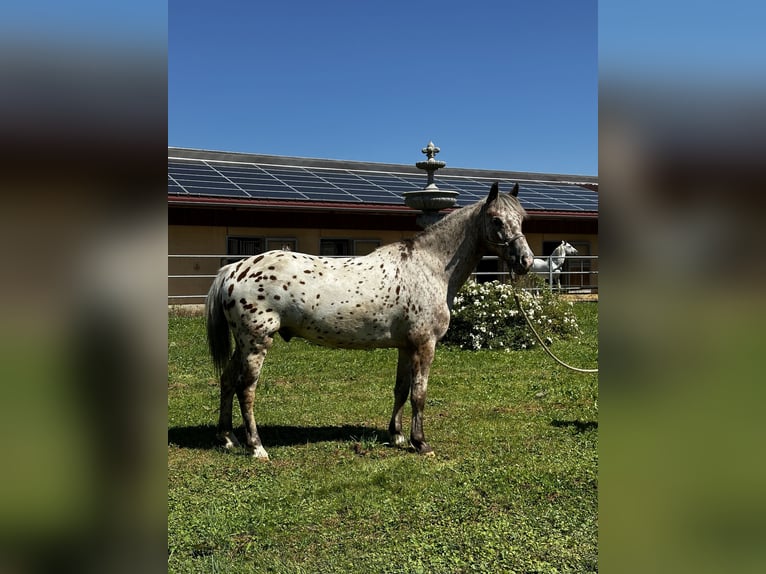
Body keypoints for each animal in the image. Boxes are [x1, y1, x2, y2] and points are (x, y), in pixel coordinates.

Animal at [207, 182, 536, 462]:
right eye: (496, 220)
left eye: (522, 218)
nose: (526, 262)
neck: (428, 267)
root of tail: (234, 269)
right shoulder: (425, 344)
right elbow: (419, 393)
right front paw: (421, 443)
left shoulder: (406, 346)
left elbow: (401, 389)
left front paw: (398, 436)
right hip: (256, 342)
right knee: (246, 389)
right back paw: (256, 447)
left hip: (243, 344)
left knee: (227, 380)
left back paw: (228, 438)